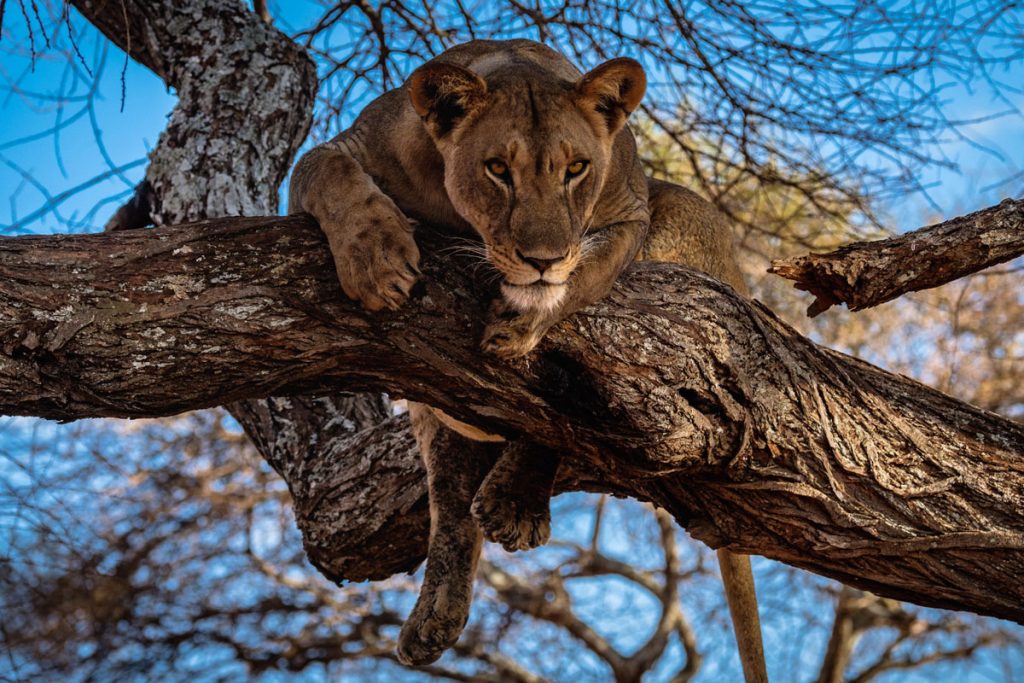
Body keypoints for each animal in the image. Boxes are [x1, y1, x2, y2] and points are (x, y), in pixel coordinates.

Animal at [289, 39, 766, 681]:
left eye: (576, 169)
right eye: (498, 169)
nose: (542, 258)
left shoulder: (632, 213)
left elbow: (587, 272)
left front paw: (525, 318)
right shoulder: (352, 147)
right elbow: (324, 170)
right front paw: (377, 259)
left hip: (687, 219)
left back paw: (513, 500)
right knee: (450, 493)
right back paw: (436, 614)